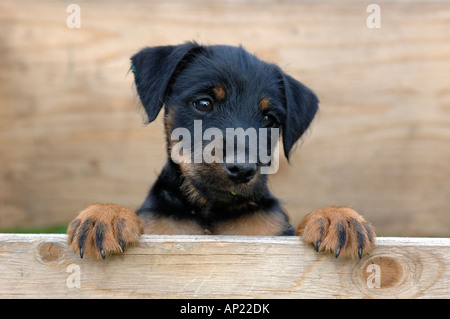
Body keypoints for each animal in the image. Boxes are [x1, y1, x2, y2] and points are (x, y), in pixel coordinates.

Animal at [67, 42, 374, 262]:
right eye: (204, 103)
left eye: (270, 119)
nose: (242, 168)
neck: (211, 209)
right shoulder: (163, 230)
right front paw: (106, 215)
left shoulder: (273, 233)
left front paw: (336, 217)